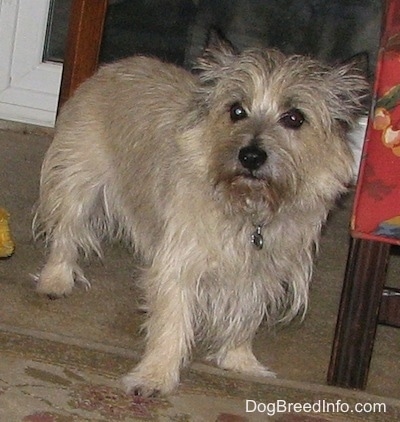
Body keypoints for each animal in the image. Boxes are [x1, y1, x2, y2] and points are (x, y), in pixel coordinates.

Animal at [34, 35, 368, 396]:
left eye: (294, 118)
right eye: (237, 110)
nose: (251, 156)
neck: (248, 208)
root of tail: (114, 65)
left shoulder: (259, 272)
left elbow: (246, 315)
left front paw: (239, 360)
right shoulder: (180, 262)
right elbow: (171, 322)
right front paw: (155, 375)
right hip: (77, 184)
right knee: (66, 233)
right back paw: (56, 279)